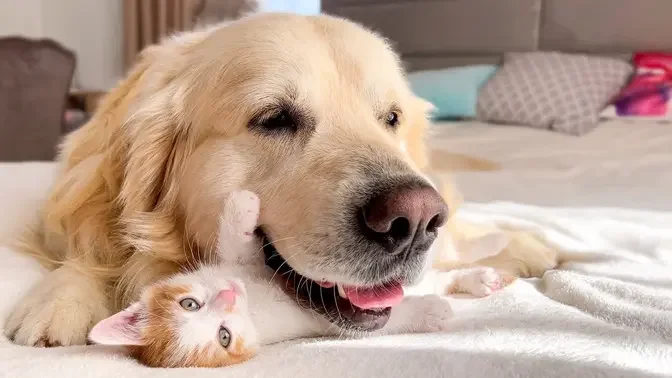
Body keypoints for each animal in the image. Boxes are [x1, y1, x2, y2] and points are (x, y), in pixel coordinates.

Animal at [88, 190, 456, 368]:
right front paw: (430, 312)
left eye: (188, 303)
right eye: (224, 337)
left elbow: (235, 245)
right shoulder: (314, 321)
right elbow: (372, 323)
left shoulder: (236, 266)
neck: (253, 302)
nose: (229, 296)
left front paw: (241, 205)